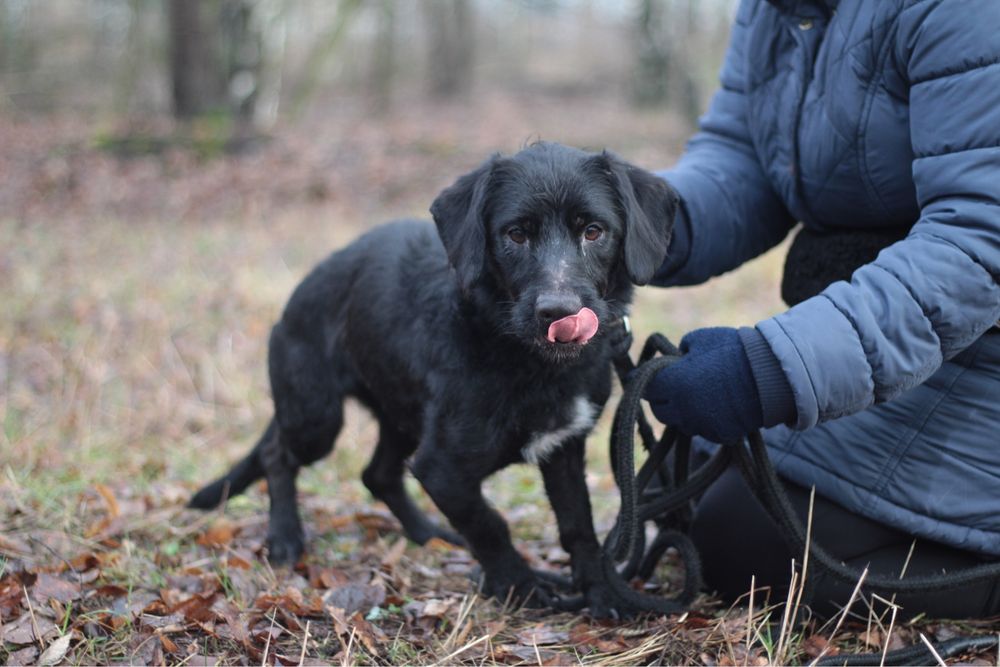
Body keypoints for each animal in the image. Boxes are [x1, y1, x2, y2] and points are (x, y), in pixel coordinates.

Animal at [189, 144, 672, 620]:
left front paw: (603, 595)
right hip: (316, 417)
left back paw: (428, 533)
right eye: (516, 234)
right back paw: (286, 538)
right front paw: (521, 588)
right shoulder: (443, 467)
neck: (526, 360)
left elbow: (578, 526)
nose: (559, 312)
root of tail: (308, 282)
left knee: (377, 474)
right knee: (278, 453)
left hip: (401, 415)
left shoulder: (564, 448)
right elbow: (489, 525)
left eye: (593, 231)